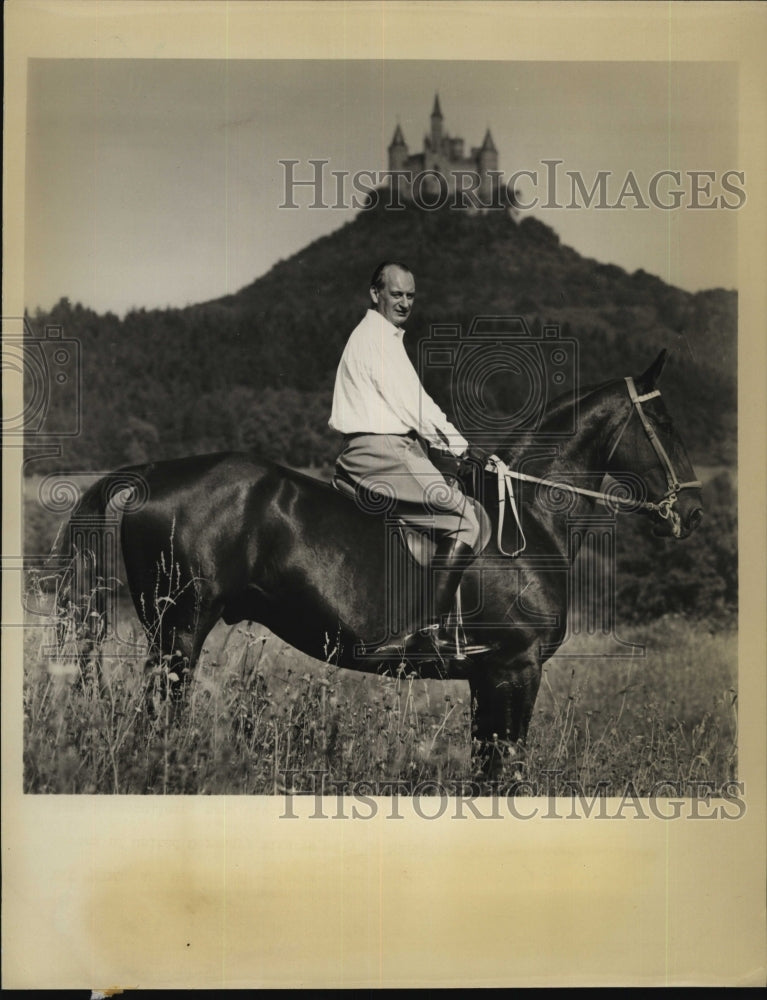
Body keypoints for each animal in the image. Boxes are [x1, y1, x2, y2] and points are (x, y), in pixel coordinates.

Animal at [63, 352, 704, 772]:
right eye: (665, 423)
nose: (693, 513)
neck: (528, 515)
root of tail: (153, 472)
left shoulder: (489, 677)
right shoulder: (516, 669)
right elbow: (503, 773)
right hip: (180, 629)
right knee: (161, 717)